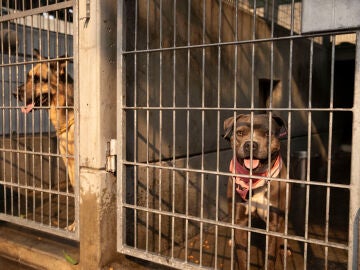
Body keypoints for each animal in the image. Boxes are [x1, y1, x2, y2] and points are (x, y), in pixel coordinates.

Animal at [225, 113, 290, 270]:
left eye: (267, 134)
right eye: (240, 133)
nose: (250, 144)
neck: (255, 177)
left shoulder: (273, 224)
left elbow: (270, 257)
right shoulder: (240, 221)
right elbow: (242, 256)